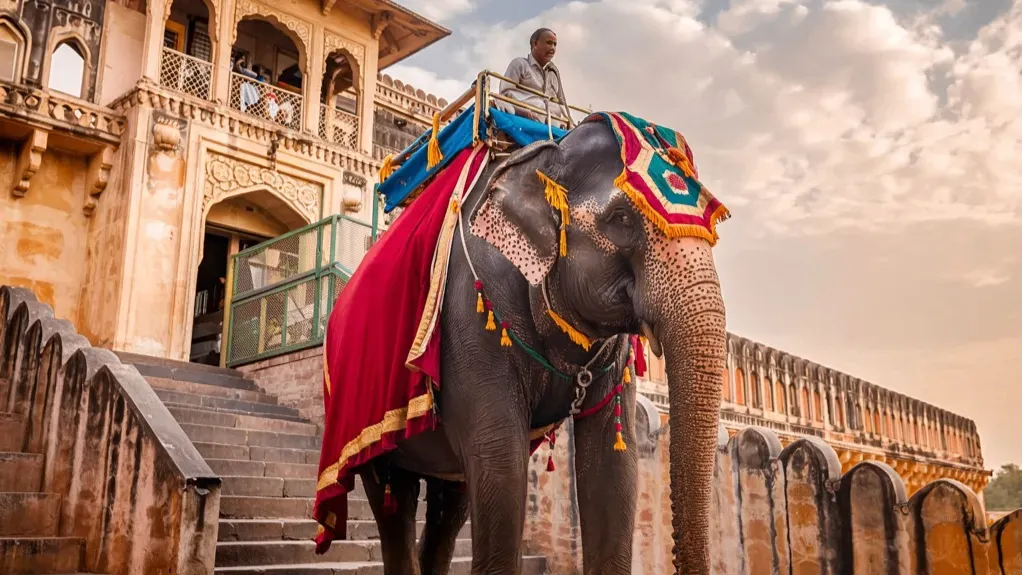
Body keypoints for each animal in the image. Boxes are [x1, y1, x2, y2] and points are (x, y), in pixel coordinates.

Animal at [355, 114, 728, 576]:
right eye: (621, 218)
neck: (547, 153)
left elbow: (614, 468)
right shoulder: (471, 316)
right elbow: (500, 461)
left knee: (450, 504)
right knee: (393, 500)